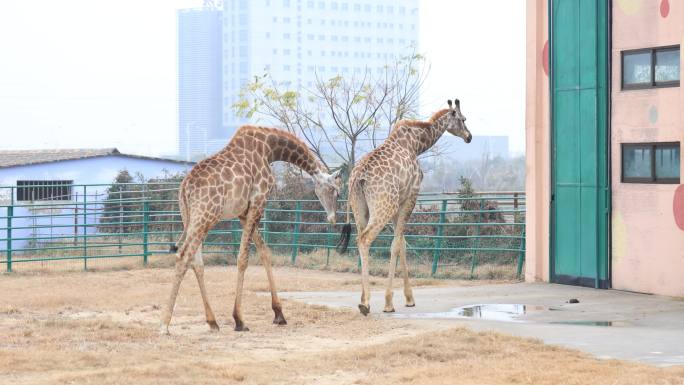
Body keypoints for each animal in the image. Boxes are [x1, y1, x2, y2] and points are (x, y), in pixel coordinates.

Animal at [161, 124, 342, 332]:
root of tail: (185, 188)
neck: (270, 149)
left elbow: (264, 252)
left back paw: (213, 321)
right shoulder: (258, 201)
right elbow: (243, 258)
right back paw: (164, 325)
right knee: (183, 256)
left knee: (197, 262)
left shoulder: (243, 212)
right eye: (336, 191)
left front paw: (279, 314)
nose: (333, 218)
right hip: (206, 216)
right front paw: (239, 320)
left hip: (190, 218)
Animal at [336, 100, 470, 316]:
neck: (416, 144)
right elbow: (396, 245)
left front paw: (409, 299)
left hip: (360, 209)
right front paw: (389, 302)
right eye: (463, 119)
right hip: (383, 207)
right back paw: (366, 304)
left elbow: (403, 244)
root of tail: (358, 178)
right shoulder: (410, 197)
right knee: (365, 239)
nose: (469, 137)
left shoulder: (398, 203)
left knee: (359, 238)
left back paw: (363, 300)